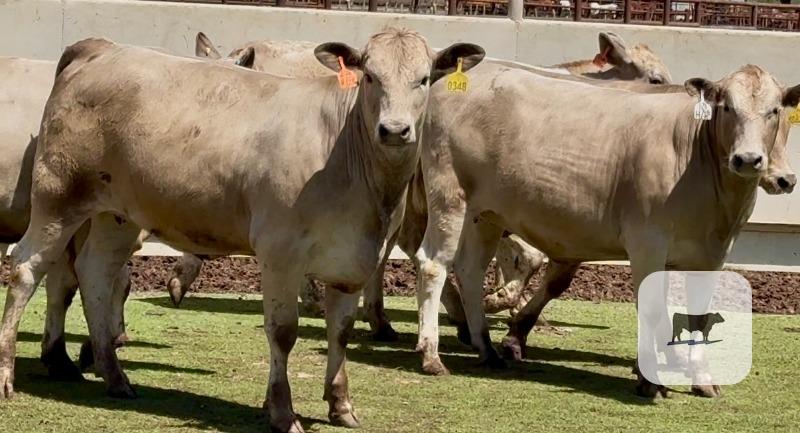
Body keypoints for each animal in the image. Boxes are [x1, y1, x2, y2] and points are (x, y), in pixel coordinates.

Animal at [0, 30, 484, 433]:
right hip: (58, 196)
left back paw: (116, 376)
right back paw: (8, 376)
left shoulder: (354, 260)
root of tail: (98, 48)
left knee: (95, 275)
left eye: (424, 79)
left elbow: (341, 332)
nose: (395, 130)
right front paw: (283, 413)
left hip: (117, 215)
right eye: (369, 75)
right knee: (26, 268)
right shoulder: (280, 252)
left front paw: (341, 405)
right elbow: (283, 332)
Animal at [412, 61, 798, 398]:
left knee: (470, 269)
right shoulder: (647, 242)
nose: (748, 160)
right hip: (448, 194)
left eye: (775, 110)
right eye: (727, 106)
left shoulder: (713, 254)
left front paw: (702, 380)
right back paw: (431, 355)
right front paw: (649, 380)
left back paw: (487, 349)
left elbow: (699, 317)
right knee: (433, 263)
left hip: (487, 214)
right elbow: (652, 308)